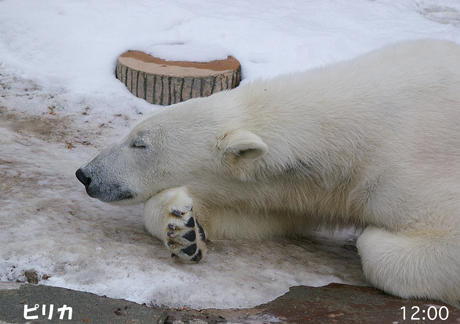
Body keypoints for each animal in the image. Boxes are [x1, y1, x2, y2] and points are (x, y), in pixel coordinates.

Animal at [77, 39, 460, 306]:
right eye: (133, 133)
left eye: (140, 144)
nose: (86, 174)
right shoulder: (303, 188)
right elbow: (263, 216)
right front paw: (184, 230)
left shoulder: (406, 163)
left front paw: (372, 233)